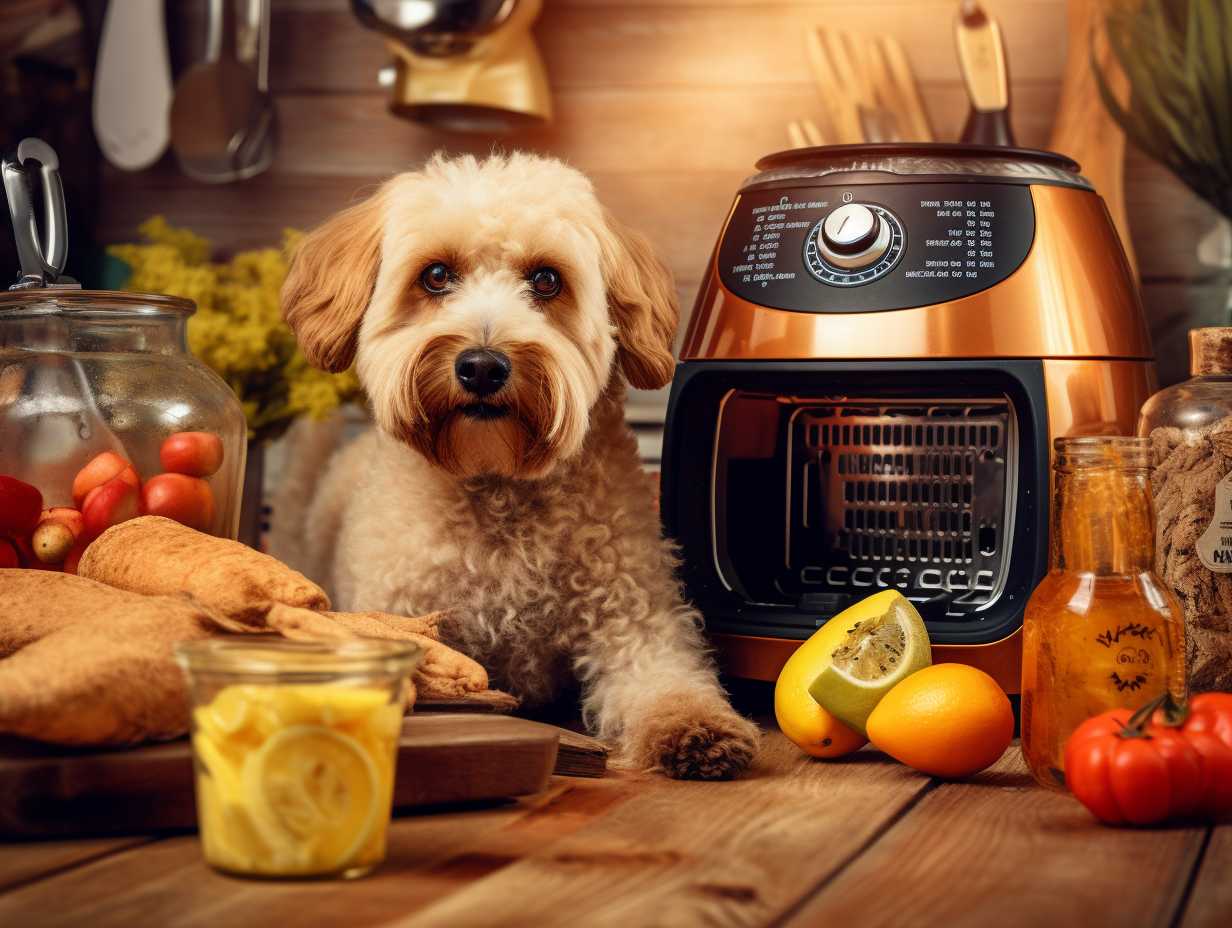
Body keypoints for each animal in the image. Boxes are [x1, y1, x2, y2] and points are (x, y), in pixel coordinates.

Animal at [272, 155, 758, 778]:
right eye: (436, 275)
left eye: (546, 280)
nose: (482, 366)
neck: (498, 493)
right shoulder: (408, 614)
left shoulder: (635, 621)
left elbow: (667, 680)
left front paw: (698, 728)